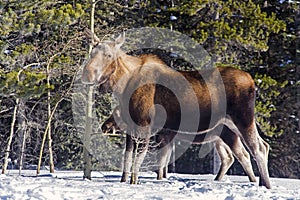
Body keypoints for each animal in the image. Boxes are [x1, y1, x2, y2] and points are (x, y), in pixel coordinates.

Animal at [82, 30, 272, 188]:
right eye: (92, 53)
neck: (123, 86)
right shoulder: (132, 128)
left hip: (242, 119)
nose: (87, 74)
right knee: (259, 147)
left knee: (257, 148)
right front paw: (124, 180)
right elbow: (128, 157)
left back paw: (266, 185)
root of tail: (252, 82)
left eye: (109, 55)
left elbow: (143, 160)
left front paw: (135, 182)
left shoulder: (146, 125)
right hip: (230, 126)